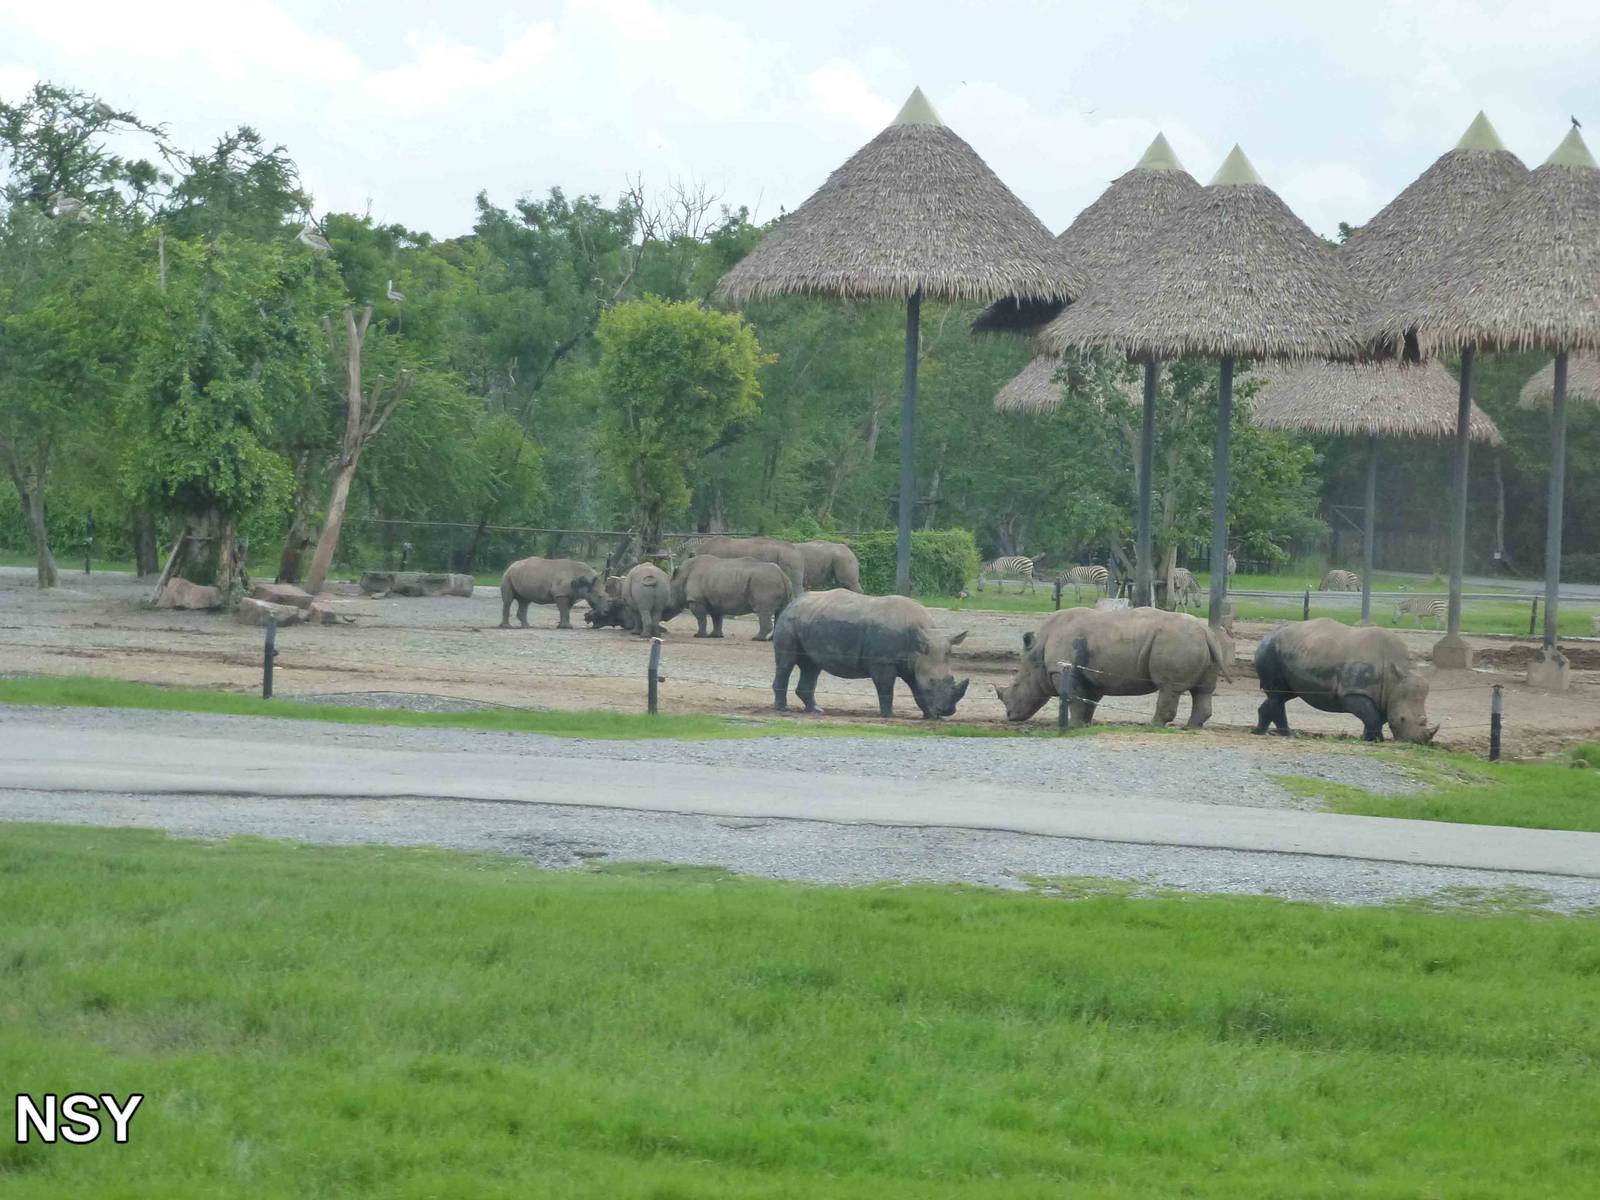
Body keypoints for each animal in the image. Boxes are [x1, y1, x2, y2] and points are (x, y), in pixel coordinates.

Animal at [772, 590, 969, 719]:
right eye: (932, 682)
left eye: (952, 679)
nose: (948, 711)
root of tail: (793, 602)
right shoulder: (882, 662)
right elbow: (886, 688)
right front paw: (889, 716)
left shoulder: (913, 663)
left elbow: (916, 689)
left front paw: (930, 716)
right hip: (789, 620)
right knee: (786, 663)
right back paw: (783, 709)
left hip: (811, 619)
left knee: (812, 666)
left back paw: (816, 710)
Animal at [996, 607, 1230, 729]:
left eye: (1015, 685)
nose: (1009, 716)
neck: (1037, 651)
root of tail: (1206, 632)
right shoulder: (1091, 675)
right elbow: (1088, 700)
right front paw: (1085, 724)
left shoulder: (1063, 669)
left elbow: (1073, 698)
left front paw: (1074, 726)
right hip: (1199, 644)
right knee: (1203, 690)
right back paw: (1190, 728)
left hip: (1176, 641)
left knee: (1168, 687)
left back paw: (1153, 726)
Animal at [1254, 619, 1438, 743]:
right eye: (1402, 719)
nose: (1416, 742)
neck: (1397, 675)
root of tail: (1266, 636)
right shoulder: (1354, 692)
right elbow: (1372, 717)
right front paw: (1375, 740)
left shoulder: (1386, 695)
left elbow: (1376, 717)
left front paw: (1368, 739)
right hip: (1271, 651)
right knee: (1279, 695)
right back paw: (1288, 735)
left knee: (1284, 695)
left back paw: (1259, 732)